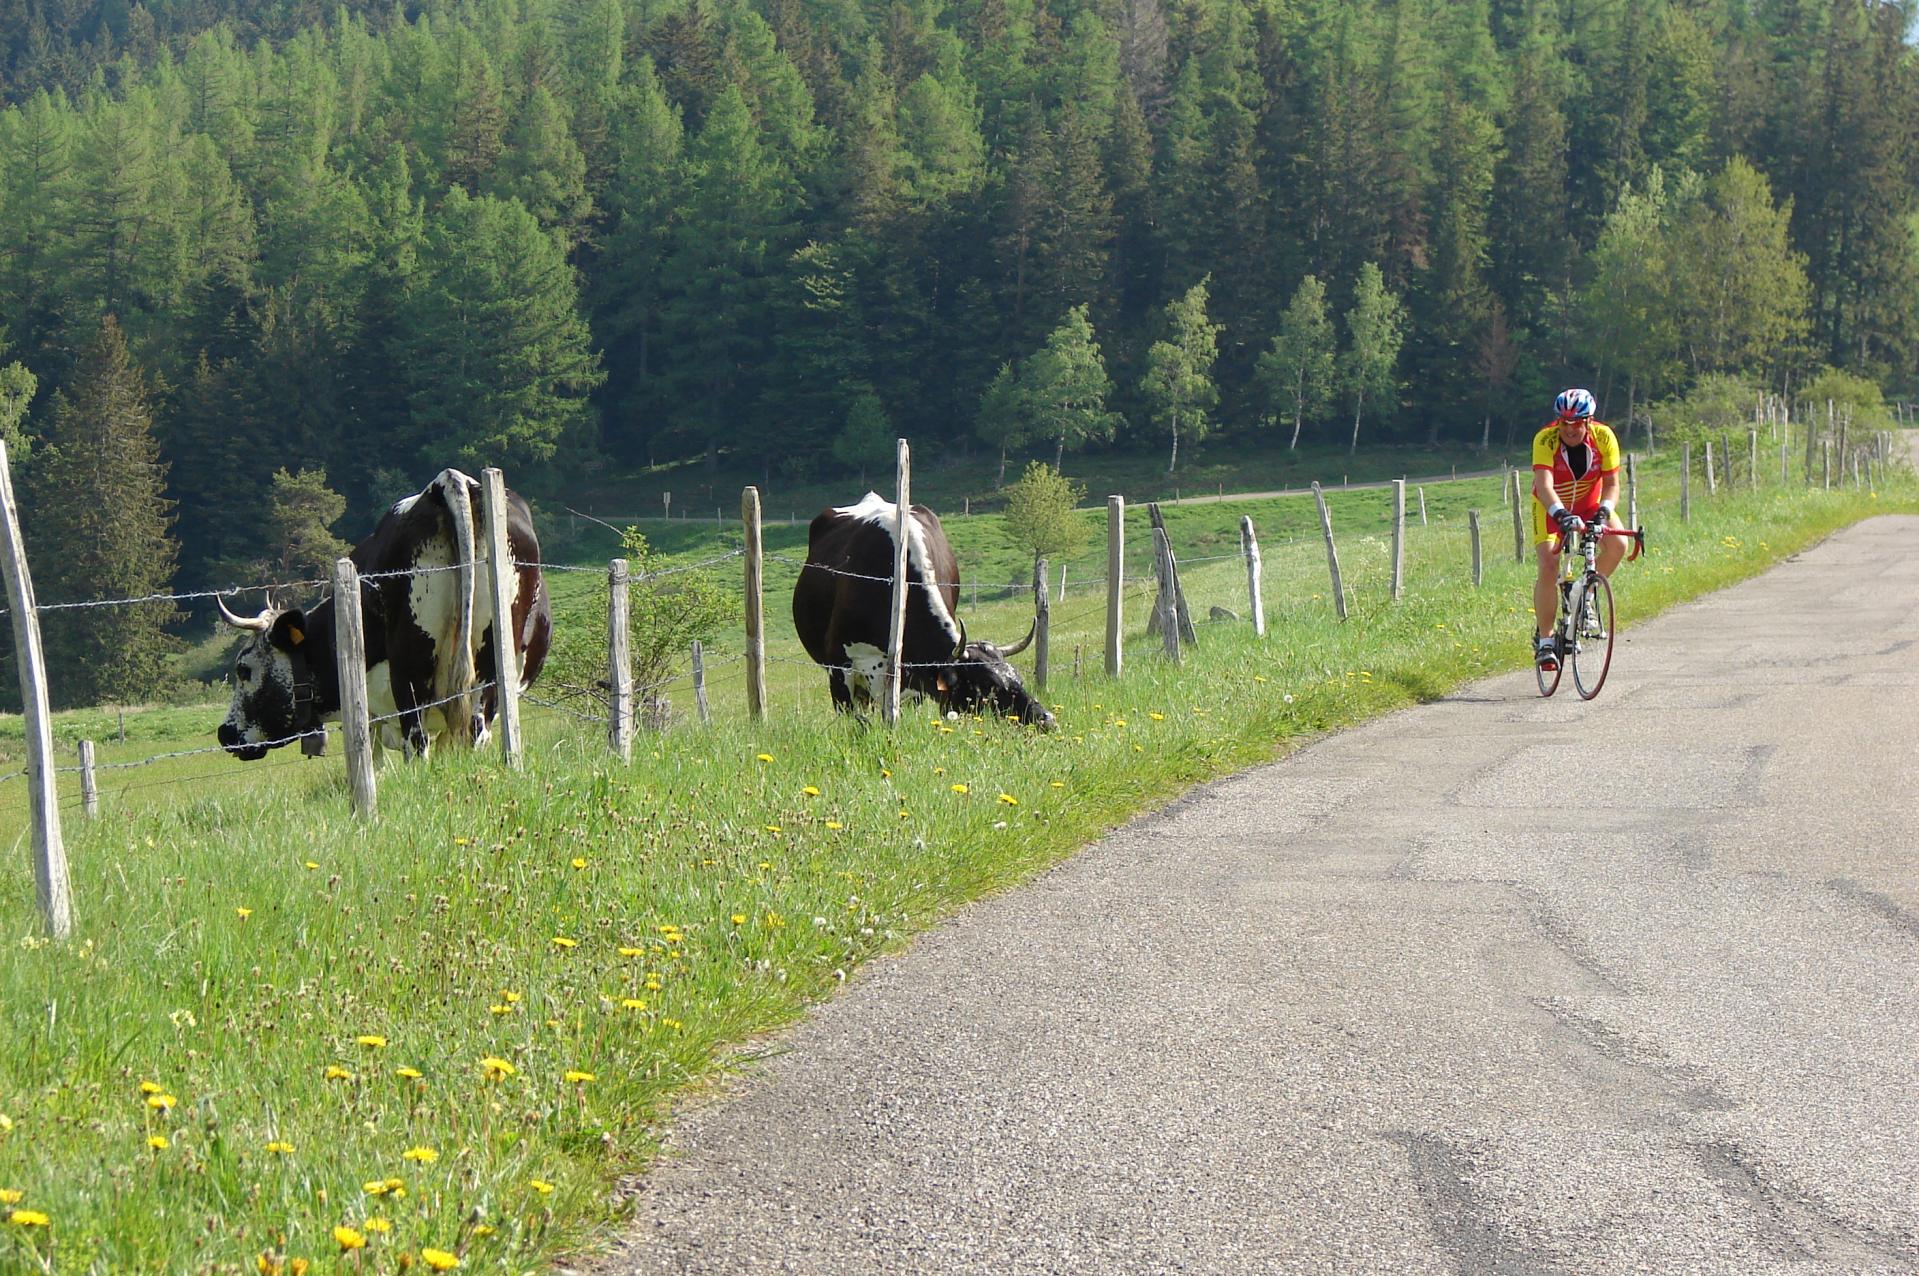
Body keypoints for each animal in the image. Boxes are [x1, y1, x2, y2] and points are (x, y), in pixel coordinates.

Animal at [218, 470, 552, 759]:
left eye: (243, 669)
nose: (225, 733)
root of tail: (446, 482)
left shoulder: (370, 715)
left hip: (411, 673)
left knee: (417, 741)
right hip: (489, 669)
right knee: (475, 731)